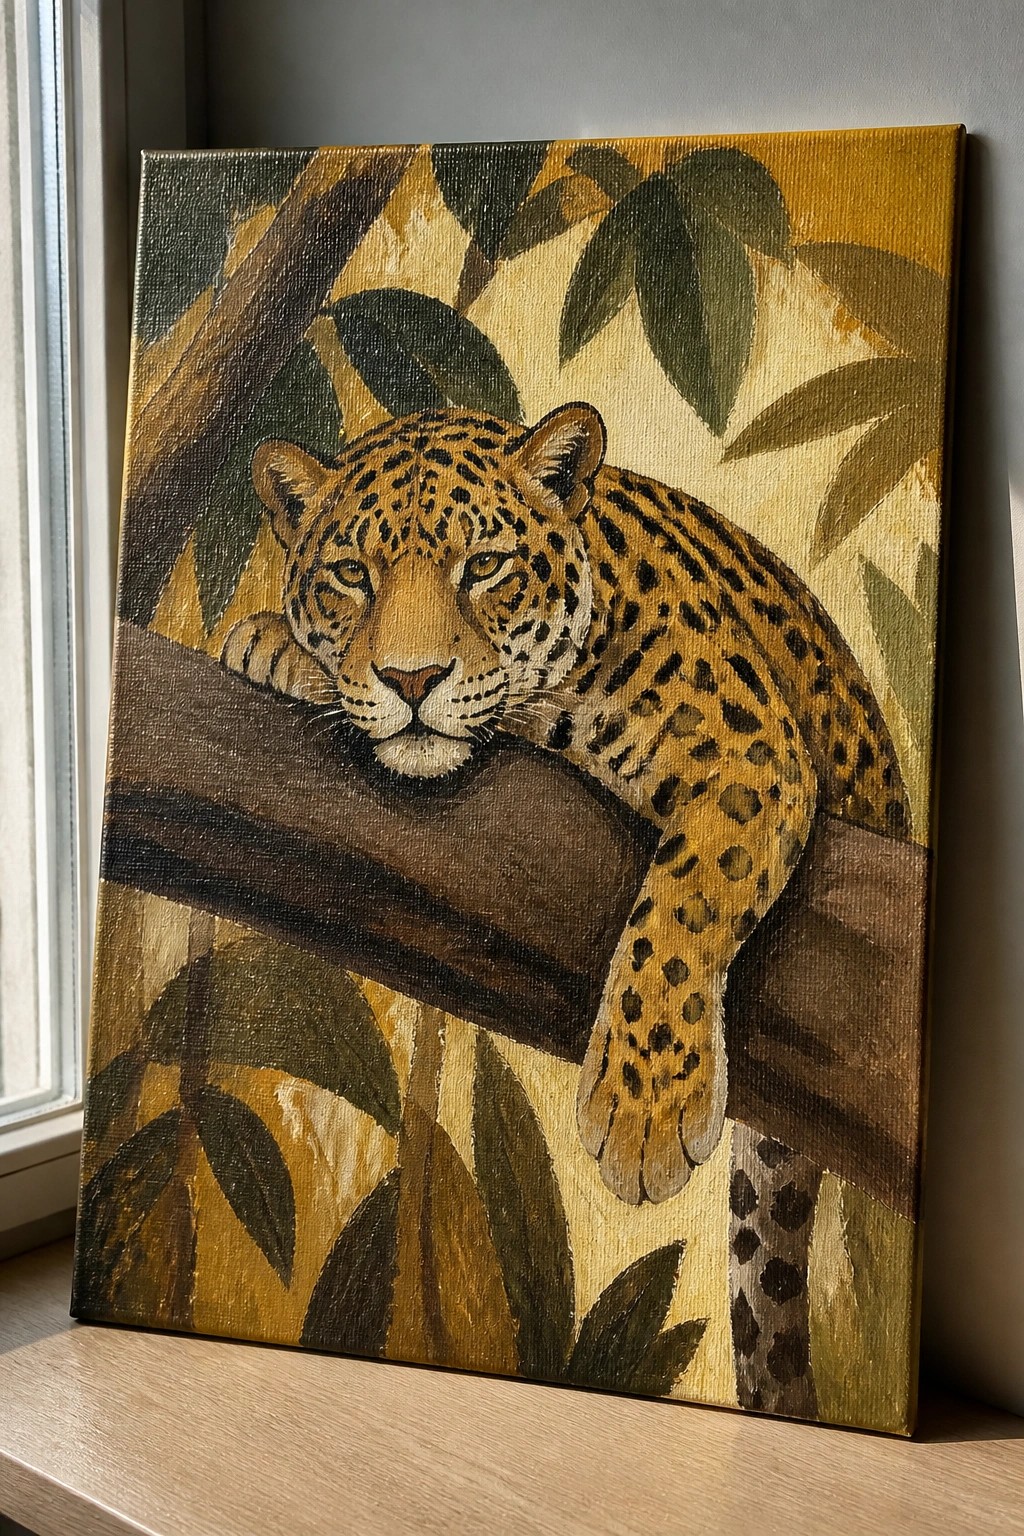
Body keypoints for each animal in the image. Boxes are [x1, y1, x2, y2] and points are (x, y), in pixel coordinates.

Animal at [222, 402, 909, 1222]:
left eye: (484, 567)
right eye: (353, 575)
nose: (412, 679)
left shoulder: (750, 750)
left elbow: (685, 905)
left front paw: (647, 1107)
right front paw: (271, 644)